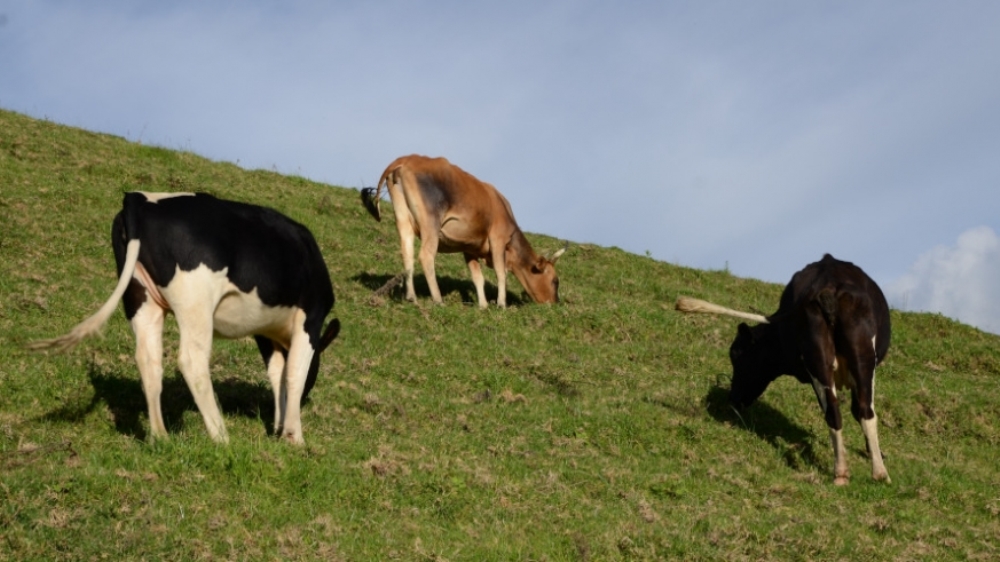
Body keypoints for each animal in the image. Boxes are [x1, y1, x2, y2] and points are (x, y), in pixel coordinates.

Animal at [29, 192, 340, 445]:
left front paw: (278, 428)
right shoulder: (310, 317)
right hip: (196, 301)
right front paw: (294, 437)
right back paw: (221, 436)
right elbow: (294, 374)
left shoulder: (265, 331)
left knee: (148, 359)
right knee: (192, 361)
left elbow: (278, 375)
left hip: (141, 297)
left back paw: (160, 436)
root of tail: (140, 199)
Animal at [361, 154, 566, 308]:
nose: (555, 303)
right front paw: (501, 304)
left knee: (407, 254)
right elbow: (501, 273)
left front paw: (483, 305)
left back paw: (411, 297)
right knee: (426, 256)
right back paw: (438, 299)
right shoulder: (498, 238)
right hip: (431, 223)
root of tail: (406, 159)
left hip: (403, 220)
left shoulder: (470, 248)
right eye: (555, 281)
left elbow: (478, 277)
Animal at [676, 254, 891, 485]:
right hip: (854, 361)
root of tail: (828, 284)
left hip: (830, 360)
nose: (733, 399)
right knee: (860, 410)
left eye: (738, 356)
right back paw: (873, 473)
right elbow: (855, 410)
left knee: (839, 411)